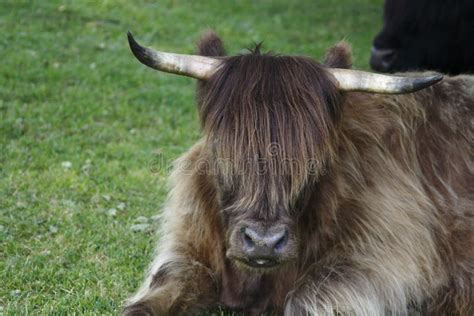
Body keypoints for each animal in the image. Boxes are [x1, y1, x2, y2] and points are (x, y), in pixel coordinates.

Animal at [123, 30, 474, 314]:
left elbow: (306, 299)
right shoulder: (187, 250)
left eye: (315, 162)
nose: (263, 242)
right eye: (221, 150)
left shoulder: (386, 261)